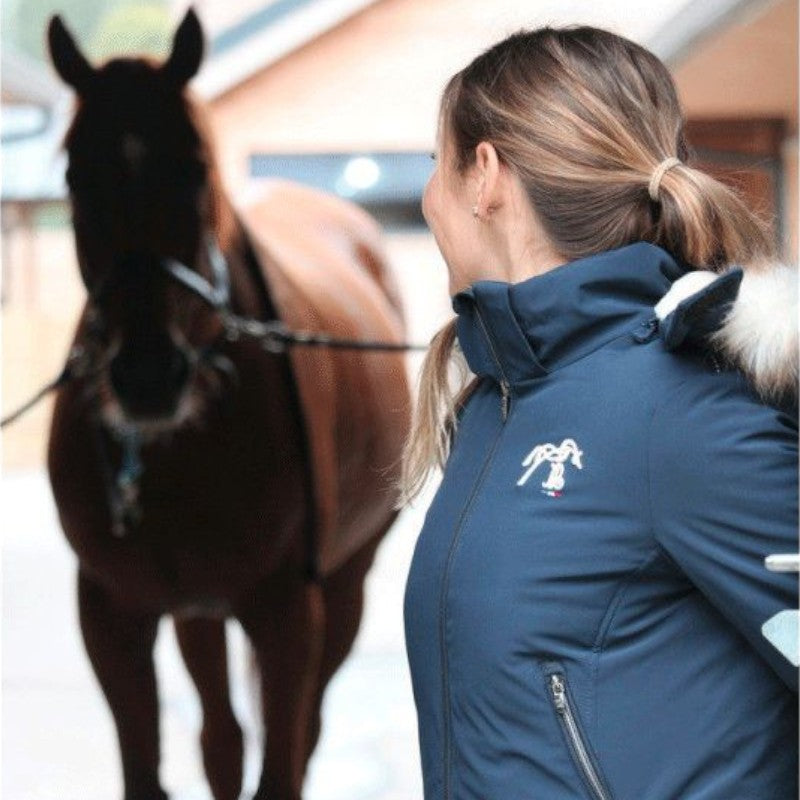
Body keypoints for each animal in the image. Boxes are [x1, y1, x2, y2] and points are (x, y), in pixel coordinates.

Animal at [46, 10, 410, 800]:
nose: (148, 376)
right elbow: (156, 767)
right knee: (221, 737)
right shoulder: (112, 615)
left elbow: (283, 760)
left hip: (344, 586)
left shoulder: (288, 613)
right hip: (199, 609)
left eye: (194, 170)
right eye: (75, 178)